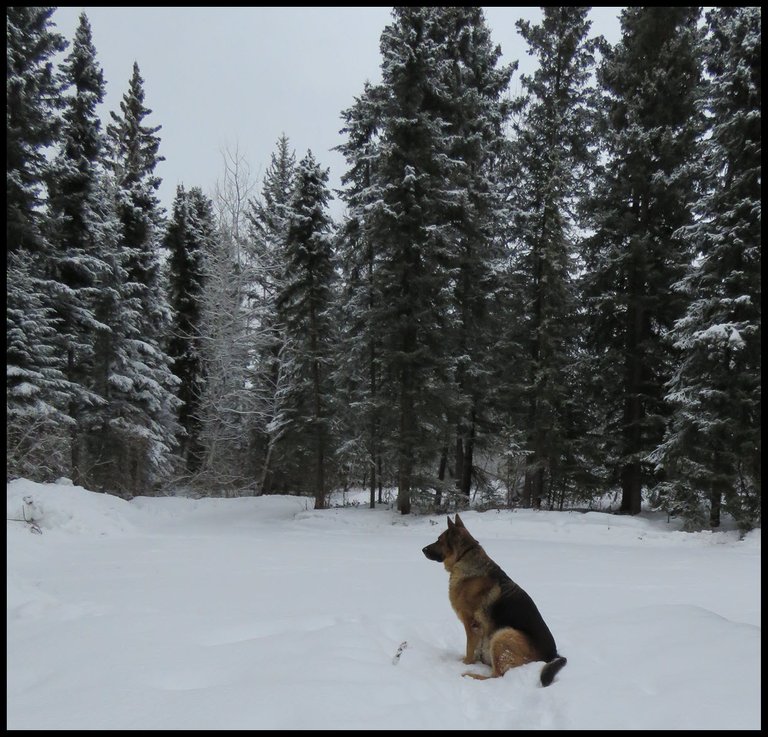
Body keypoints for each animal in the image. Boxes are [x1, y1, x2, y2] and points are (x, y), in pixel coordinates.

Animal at [424, 516, 568, 688]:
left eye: (439, 540)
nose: (423, 549)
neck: (464, 556)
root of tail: (552, 655)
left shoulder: (471, 625)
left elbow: (470, 649)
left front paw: (466, 664)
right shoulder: (479, 630)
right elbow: (475, 650)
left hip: (503, 635)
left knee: (497, 676)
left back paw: (471, 675)